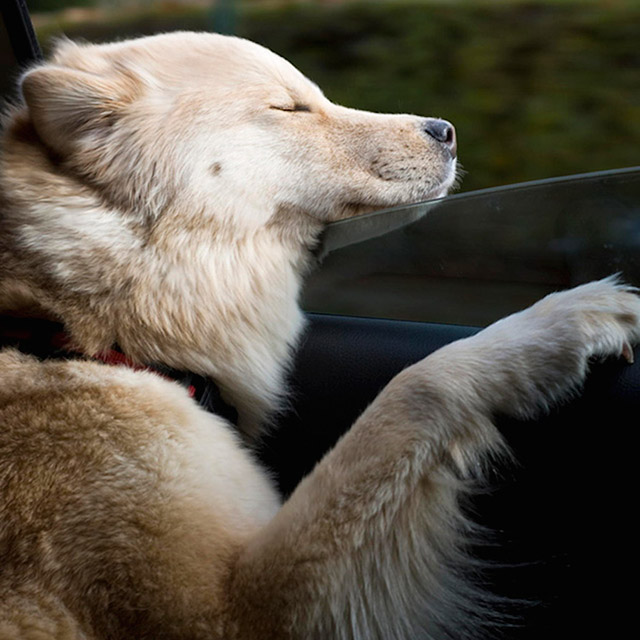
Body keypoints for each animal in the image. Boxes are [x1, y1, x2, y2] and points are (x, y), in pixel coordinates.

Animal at [1, 33, 640, 640]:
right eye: (289, 108)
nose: (448, 132)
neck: (80, 327)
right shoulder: (232, 615)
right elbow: (415, 387)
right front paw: (558, 323)